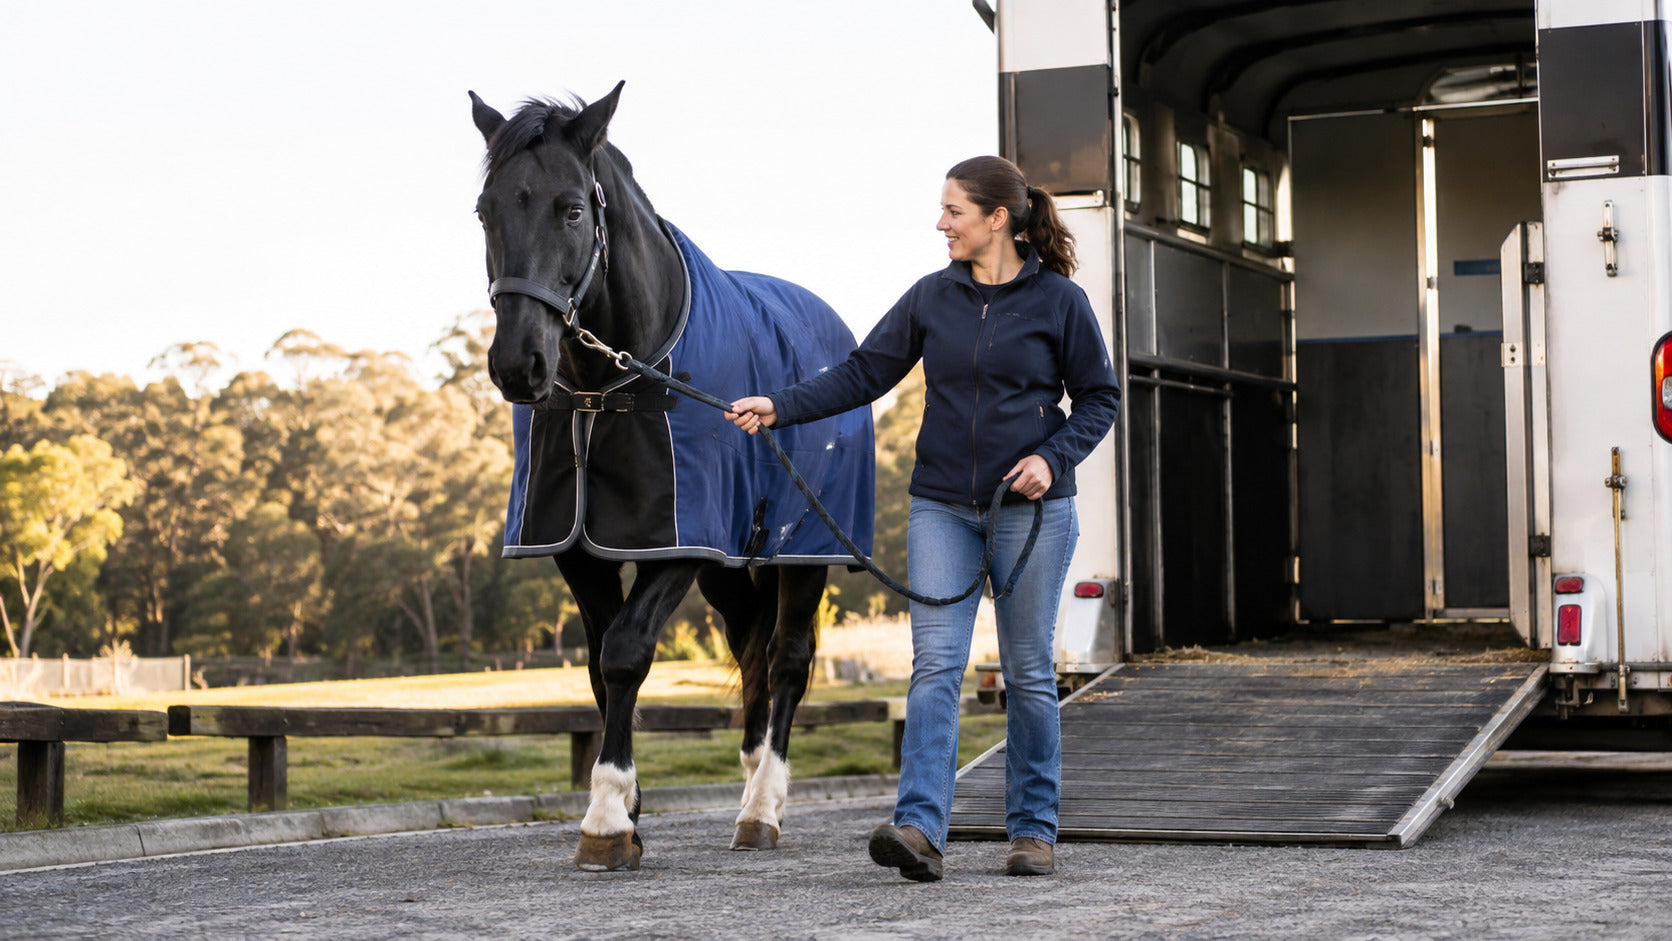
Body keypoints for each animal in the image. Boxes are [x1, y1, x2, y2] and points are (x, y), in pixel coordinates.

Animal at [469, 83, 875, 872]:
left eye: (572, 208)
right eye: (484, 210)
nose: (517, 365)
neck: (609, 387)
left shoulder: (679, 543)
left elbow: (626, 653)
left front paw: (605, 818)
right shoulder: (580, 549)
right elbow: (598, 668)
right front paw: (628, 811)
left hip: (802, 550)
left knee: (786, 660)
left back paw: (762, 808)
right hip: (731, 562)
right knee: (751, 650)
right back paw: (751, 780)